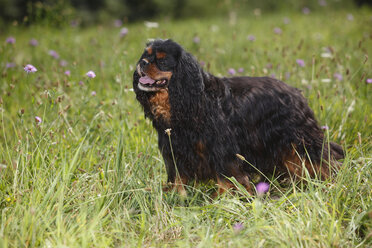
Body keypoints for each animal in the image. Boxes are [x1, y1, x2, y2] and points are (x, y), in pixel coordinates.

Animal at [132, 38, 344, 196]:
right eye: (146, 55)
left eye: (162, 61)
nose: (142, 63)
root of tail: (297, 93)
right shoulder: (176, 151)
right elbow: (178, 179)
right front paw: (175, 196)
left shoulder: (222, 151)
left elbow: (228, 180)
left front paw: (224, 200)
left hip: (300, 140)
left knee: (322, 160)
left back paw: (331, 182)